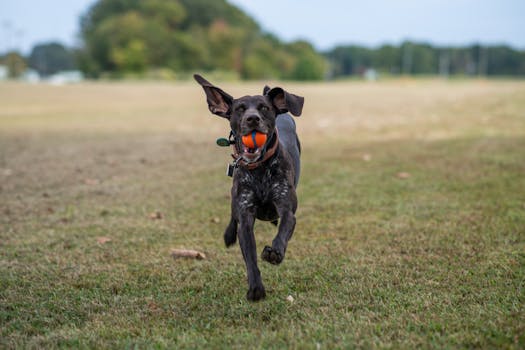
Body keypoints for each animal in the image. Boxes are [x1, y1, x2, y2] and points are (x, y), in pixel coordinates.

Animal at [194, 74, 304, 300]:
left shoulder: (286, 208)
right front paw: (256, 288)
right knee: (232, 215)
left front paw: (275, 252)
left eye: (264, 108)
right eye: (240, 109)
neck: (259, 169)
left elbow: (284, 226)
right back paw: (228, 235)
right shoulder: (245, 216)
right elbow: (249, 255)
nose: (253, 119)